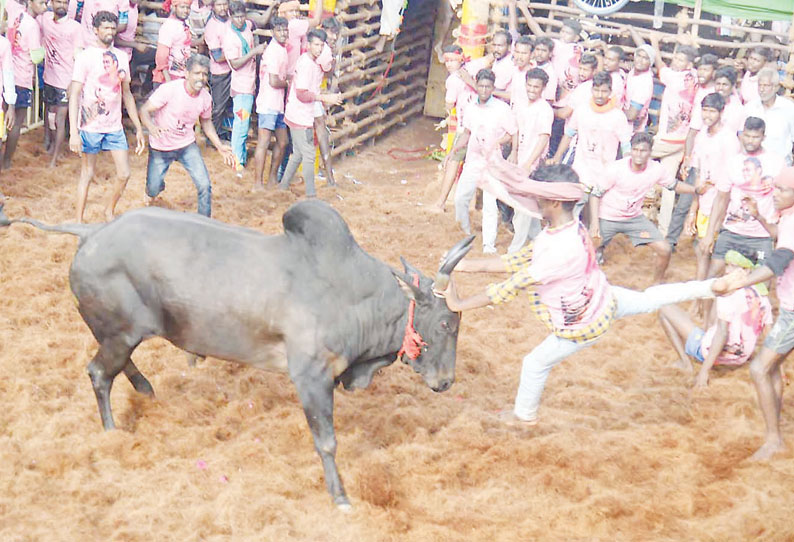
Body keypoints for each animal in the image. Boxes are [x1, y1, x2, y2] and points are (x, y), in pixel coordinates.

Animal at [6, 201, 474, 510]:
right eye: (446, 324)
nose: (446, 381)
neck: (353, 296)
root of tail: (92, 232)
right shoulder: (312, 377)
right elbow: (327, 441)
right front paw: (340, 496)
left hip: (121, 333)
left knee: (116, 367)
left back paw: (145, 389)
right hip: (122, 333)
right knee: (99, 373)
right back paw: (110, 432)